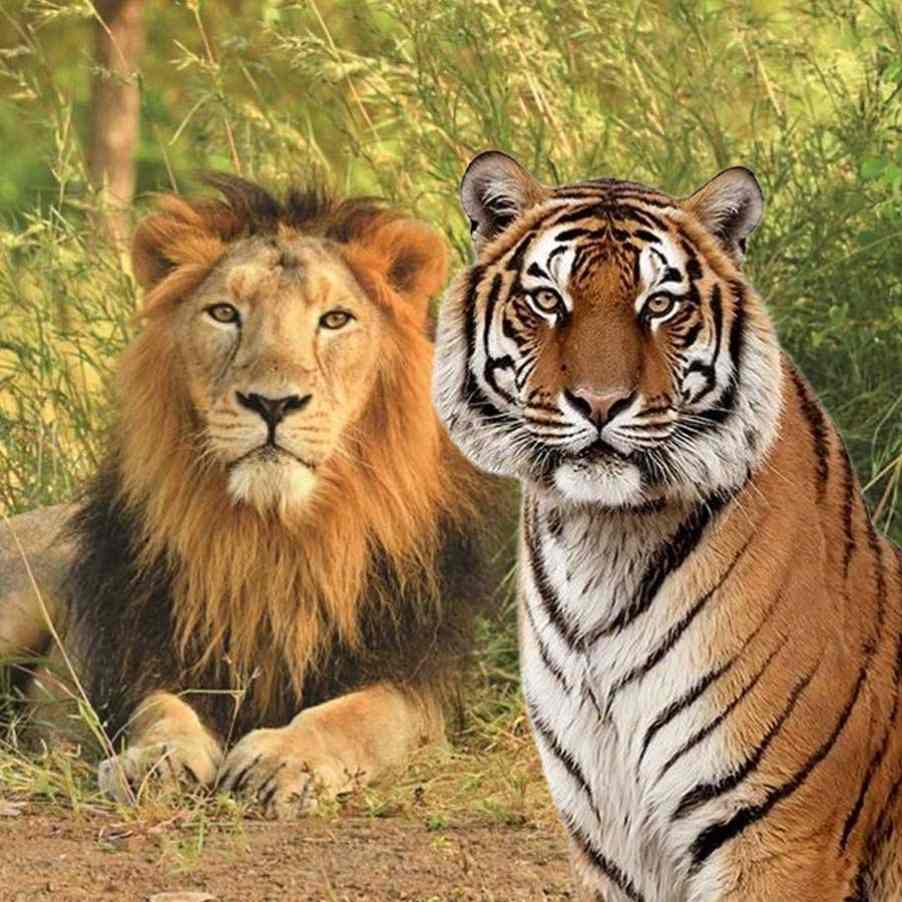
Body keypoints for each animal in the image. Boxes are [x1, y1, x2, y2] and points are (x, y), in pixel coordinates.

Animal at [0, 175, 494, 817]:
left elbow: (354, 716)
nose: (272, 403)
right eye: (224, 314)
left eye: (335, 319)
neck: (272, 535)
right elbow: (160, 710)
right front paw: (156, 761)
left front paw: (284, 760)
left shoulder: (414, 676)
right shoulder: (149, 653)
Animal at [431, 150, 902, 901]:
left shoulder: (778, 841)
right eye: (548, 300)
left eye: (659, 304)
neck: (601, 541)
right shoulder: (610, 844)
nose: (599, 404)